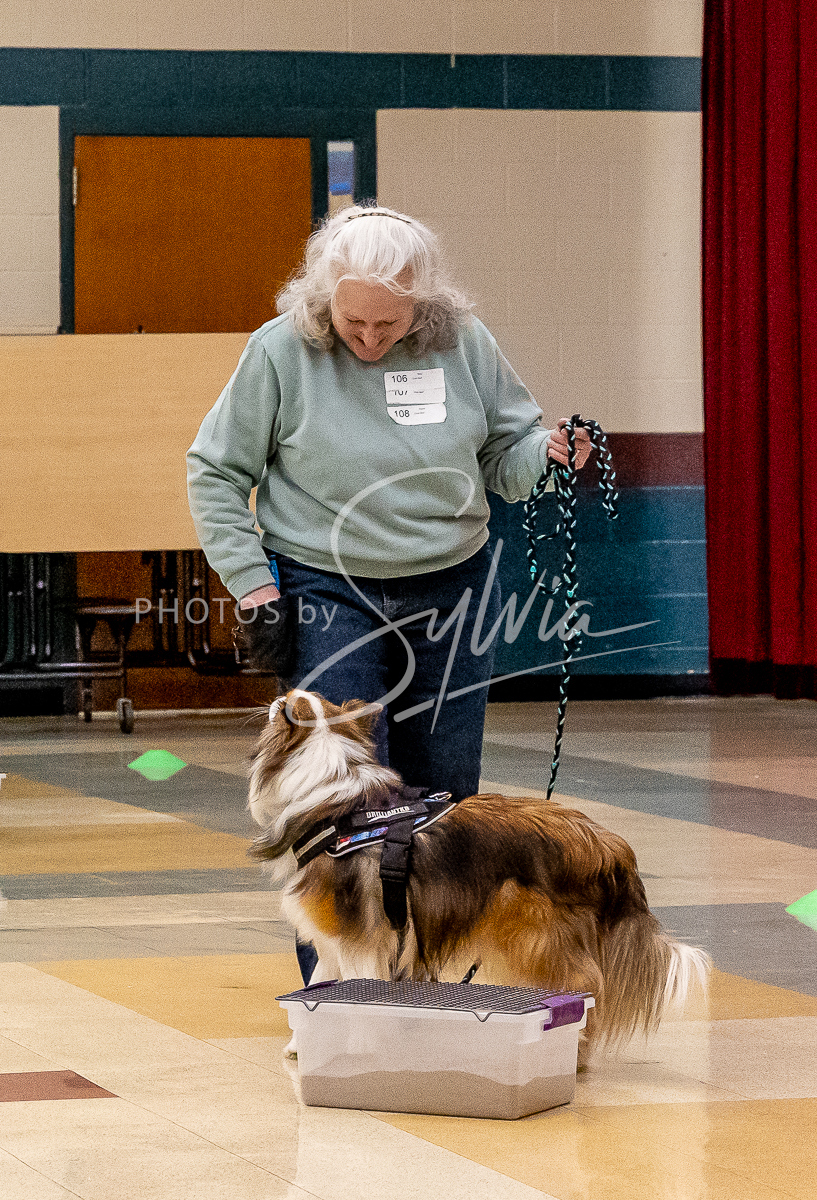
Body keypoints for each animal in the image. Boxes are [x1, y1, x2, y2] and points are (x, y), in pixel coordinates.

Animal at [248, 689, 710, 1057]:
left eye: (286, 703)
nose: (274, 697)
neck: (338, 807)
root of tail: (607, 844)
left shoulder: (359, 939)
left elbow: (357, 993)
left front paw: (358, 1047)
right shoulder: (334, 939)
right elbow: (318, 987)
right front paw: (300, 1046)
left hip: (535, 939)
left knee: (583, 987)